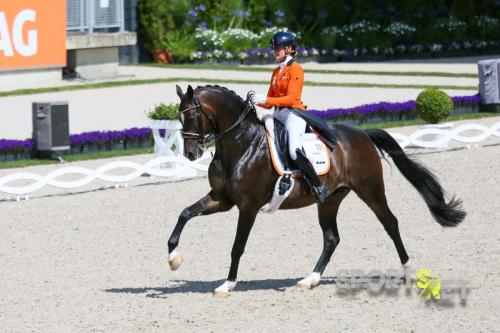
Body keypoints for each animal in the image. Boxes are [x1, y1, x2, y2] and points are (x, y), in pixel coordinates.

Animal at [167, 84, 464, 296]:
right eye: (179, 118)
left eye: (192, 115)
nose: (191, 153)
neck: (242, 143)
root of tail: (363, 134)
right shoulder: (221, 199)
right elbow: (184, 213)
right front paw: (173, 258)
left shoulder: (247, 207)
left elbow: (237, 246)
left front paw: (227, 285)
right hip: (329, 201)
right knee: (332, 238)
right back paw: (310, 280)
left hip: (370, 190)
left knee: (390, 223)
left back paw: (409, 272)